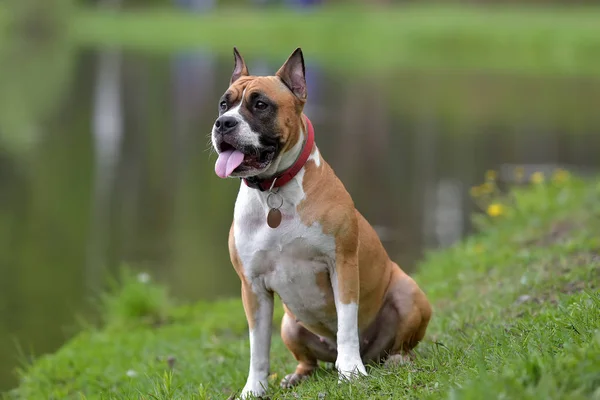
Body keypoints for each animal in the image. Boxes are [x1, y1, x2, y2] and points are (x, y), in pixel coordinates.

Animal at [211, 48, 432, 398]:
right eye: (224, 103)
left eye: (260, 104)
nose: (223, 123)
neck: (275, 190)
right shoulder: (253, 287)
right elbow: (257, 346)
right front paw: (254, 388)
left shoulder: (342, 265)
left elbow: (347, 325)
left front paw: (351, 372)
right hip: (289, 324)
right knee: (309, 361)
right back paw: (297, 376)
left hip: (408, 293)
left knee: (394, 346)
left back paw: (391, 359)